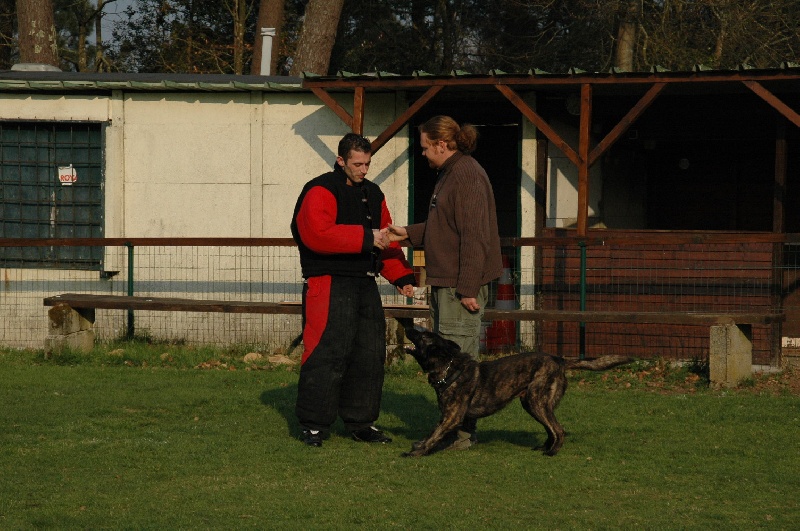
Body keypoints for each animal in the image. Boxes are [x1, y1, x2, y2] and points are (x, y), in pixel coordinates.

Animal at [404, 322, 636, 460]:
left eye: (422, 336)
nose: (408, 327)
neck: (448, 368)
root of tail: (559, 360)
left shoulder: (451, 417)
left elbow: (433, 434)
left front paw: (416, 452)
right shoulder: (449, 416)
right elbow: (434, 432)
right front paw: (421, 446)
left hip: (536, 401)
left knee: (558, 429)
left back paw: (552, 452)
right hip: (532, 404)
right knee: (551, 429)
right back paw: (545, 447)